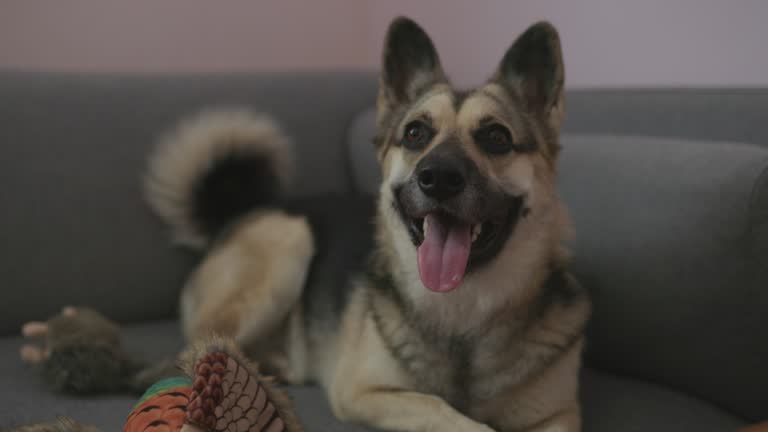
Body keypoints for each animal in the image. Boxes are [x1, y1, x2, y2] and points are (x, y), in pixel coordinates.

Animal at [142, 15, 588, 432]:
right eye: (415, 133)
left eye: (497, 137)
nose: (438, 178)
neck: (462, 309)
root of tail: (235, 215)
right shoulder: (364, 392)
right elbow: (442, 409)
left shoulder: (561, 415)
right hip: (288, 243)